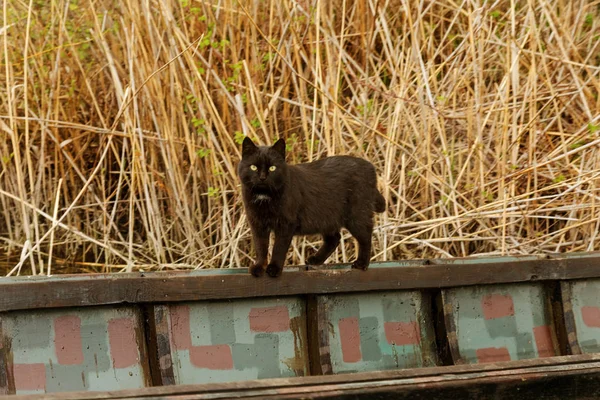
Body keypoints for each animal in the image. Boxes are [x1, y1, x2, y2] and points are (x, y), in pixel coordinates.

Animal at [238, 138, 384, 278]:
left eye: (272, 168)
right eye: (253, 167)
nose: (262, 177)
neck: (264, 196)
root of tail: (370, 167)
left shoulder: (286, 224)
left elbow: (278, 248)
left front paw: (274, 269)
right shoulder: (257, 224)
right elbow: (260, 247)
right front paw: (259, 267)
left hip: (356, 215)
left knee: (366, 236)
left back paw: (361, 264)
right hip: (327, 216)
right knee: (334, 238)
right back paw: (316, 260)